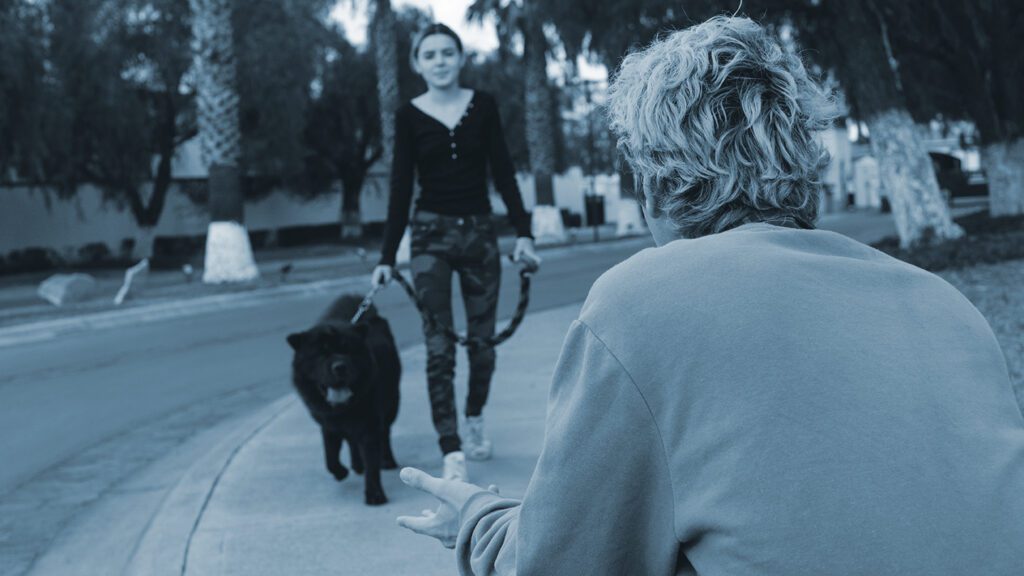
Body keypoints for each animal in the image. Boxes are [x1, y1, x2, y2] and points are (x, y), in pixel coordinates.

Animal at [290, 293, 401, 504]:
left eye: (348, 350)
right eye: (322, 353)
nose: (339, 366)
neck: (342, 409)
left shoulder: (369, 426)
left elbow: (372, 463)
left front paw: (374, 495)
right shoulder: (327, 424)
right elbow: (330, 457)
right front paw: (340, 472)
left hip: (392, 404)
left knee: (385, 434)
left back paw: (387, 460)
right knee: (351, 441)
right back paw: (356, 465)